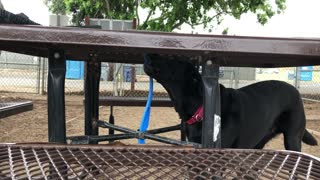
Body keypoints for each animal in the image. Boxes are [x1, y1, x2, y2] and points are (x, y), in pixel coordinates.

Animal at [144, 53, 318, 152]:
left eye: (172, 58)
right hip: (258, 141)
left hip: (292, 138)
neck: (200, 107)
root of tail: (296, 91)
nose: (149, 53)